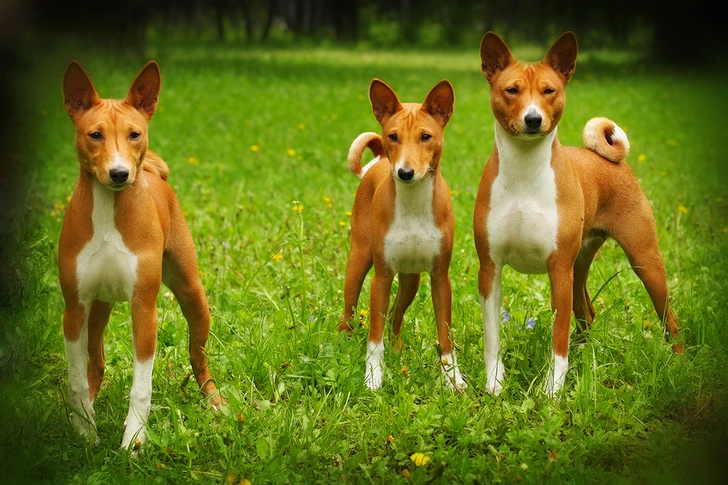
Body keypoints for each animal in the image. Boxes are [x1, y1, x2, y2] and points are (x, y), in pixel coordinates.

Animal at [59, 61, 220, 450]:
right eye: (95, 135)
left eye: (134, 134)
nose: (119, 173)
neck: (109, 211)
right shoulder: (74, 310)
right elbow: (76, 380)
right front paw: (85, 430)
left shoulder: (143, 309)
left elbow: (141, 387)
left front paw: (134, 439)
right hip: (97, 311)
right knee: (96, 363)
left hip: (193, 297)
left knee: (198, 357)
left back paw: (217, 403)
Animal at [336, 78, 466, 390]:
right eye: (393, 136)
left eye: (426, 136)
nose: (405, 172)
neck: (413, 205)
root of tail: (381, 160)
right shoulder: (381, 278)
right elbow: (374, 337)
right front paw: (373, 377)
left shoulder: (440, 278)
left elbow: (445, 335)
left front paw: (452, 379)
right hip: (358, 263)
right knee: (348, 313)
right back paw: (339, 348)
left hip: (411, 280)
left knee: (395, 317)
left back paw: (397, 353)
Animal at [472, 30, 684, 396]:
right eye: (511, 90)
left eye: (549, 91)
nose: (533, 119)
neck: (525, 172)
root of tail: (610, 159)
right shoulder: (491, 268)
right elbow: (493, 339)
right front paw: (494, 384)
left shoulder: (558, 269)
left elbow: (558, 341)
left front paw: (552, 392)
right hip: (580, 266)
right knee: (588, 312)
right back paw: (585, 354)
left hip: (644, 261)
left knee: (669, 318)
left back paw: (681, 362)